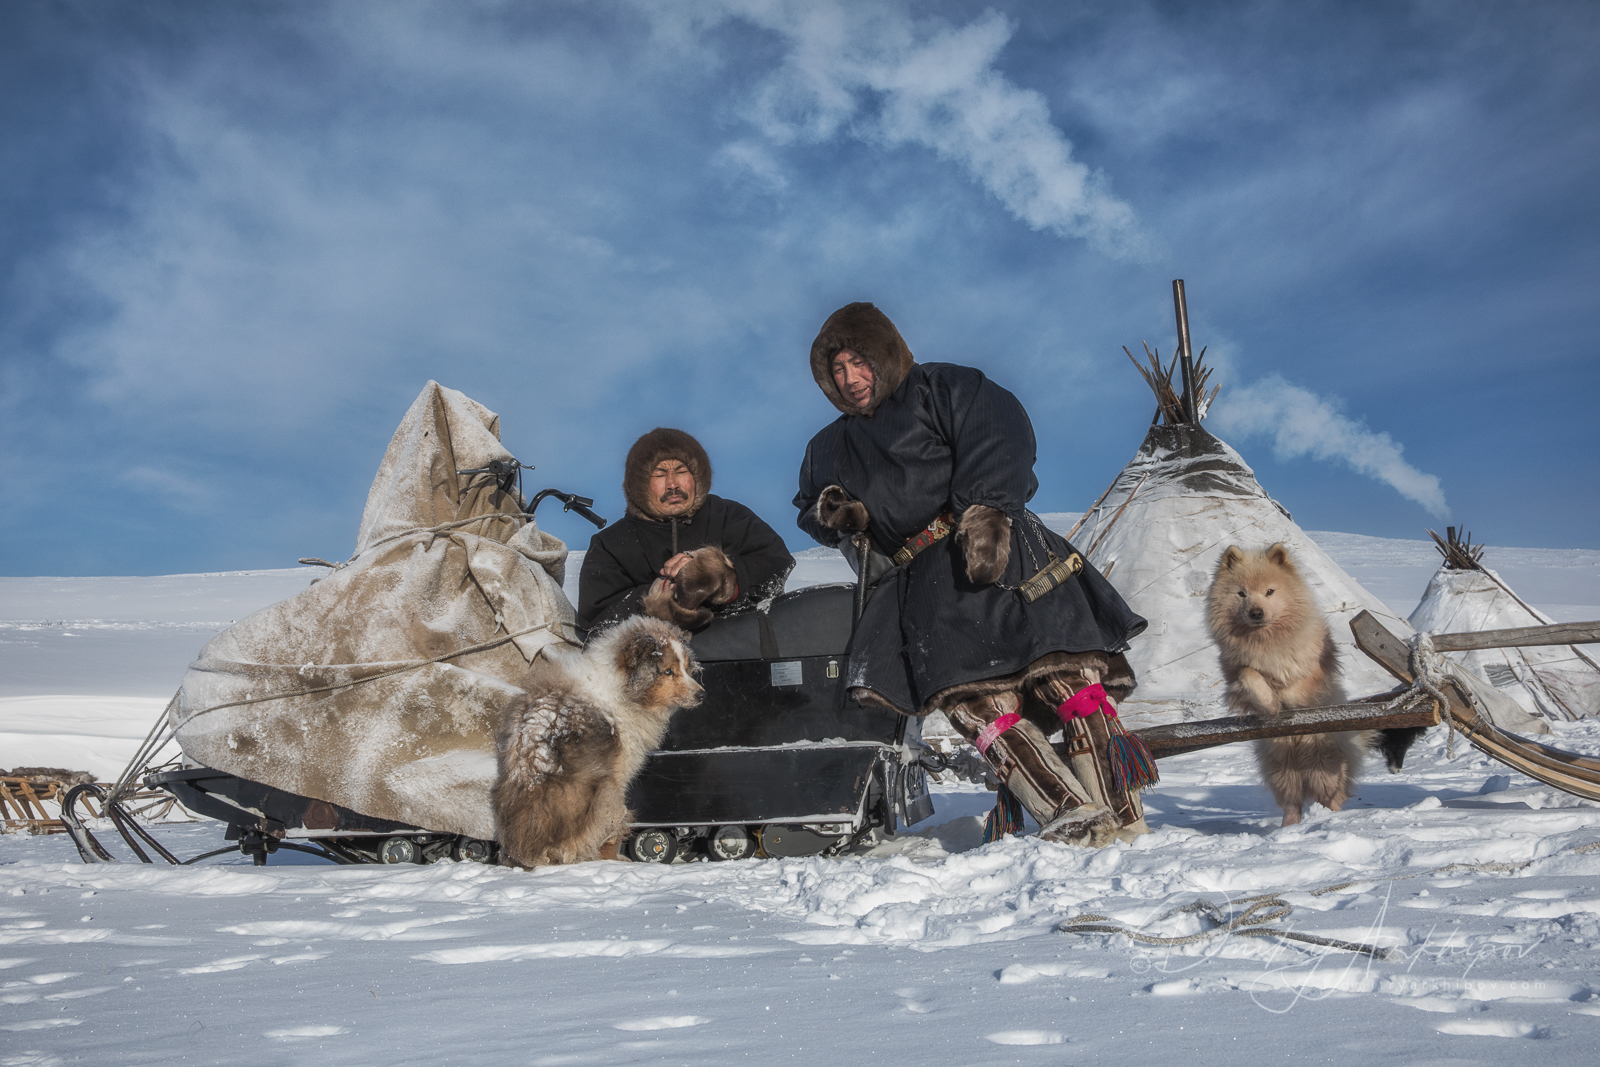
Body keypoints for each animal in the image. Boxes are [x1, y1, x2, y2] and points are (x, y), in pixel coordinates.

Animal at [496, 614, 704, 870]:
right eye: (667, 671)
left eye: (686, 668)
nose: (702, 694)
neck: (621, 688)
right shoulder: (619, 772)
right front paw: (614, 858)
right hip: (608, 794)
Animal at [1203, 543, 1369, 825]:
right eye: (1241, 593)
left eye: (1270, 591)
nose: (1256, 612)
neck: (1266, 640)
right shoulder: (1235, 672)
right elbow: (1250, 676)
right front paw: (1270, 703)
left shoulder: (1314, 668)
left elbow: (1296, 681)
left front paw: (1285, 697)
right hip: (1280, 766)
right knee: (1292, 801)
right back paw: (1288, 828)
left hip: (1323, 762)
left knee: (1331, 797)